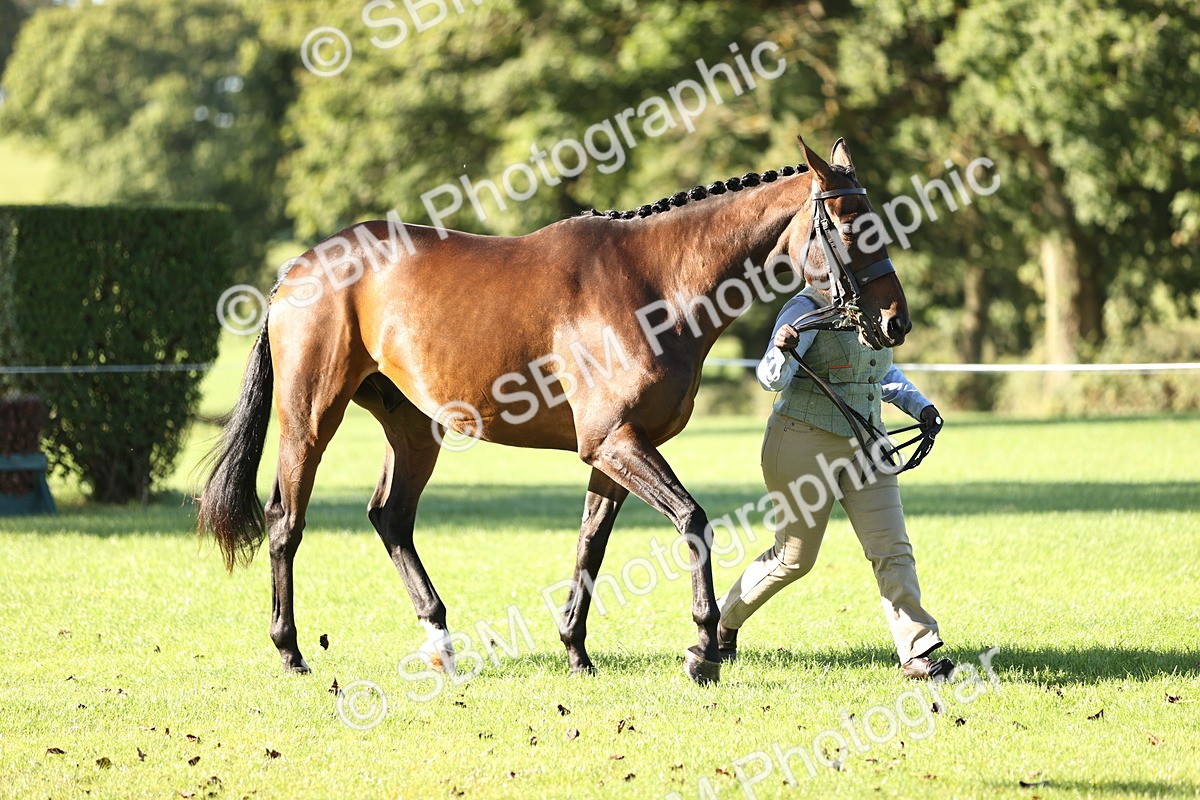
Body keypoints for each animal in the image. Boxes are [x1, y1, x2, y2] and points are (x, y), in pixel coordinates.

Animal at [196, 135, 910, 685]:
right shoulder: (614, 443)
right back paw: (291, 652)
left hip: (414, 429)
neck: (655, 285)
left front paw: (576, 652)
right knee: (286, 521)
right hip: (310, 417)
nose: (893, 321)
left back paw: (441, 644)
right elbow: (693, 522)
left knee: (390, 516)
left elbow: (590, 545)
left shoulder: (615, 450)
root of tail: (299, 266)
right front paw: (703, 651)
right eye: (851, 225)